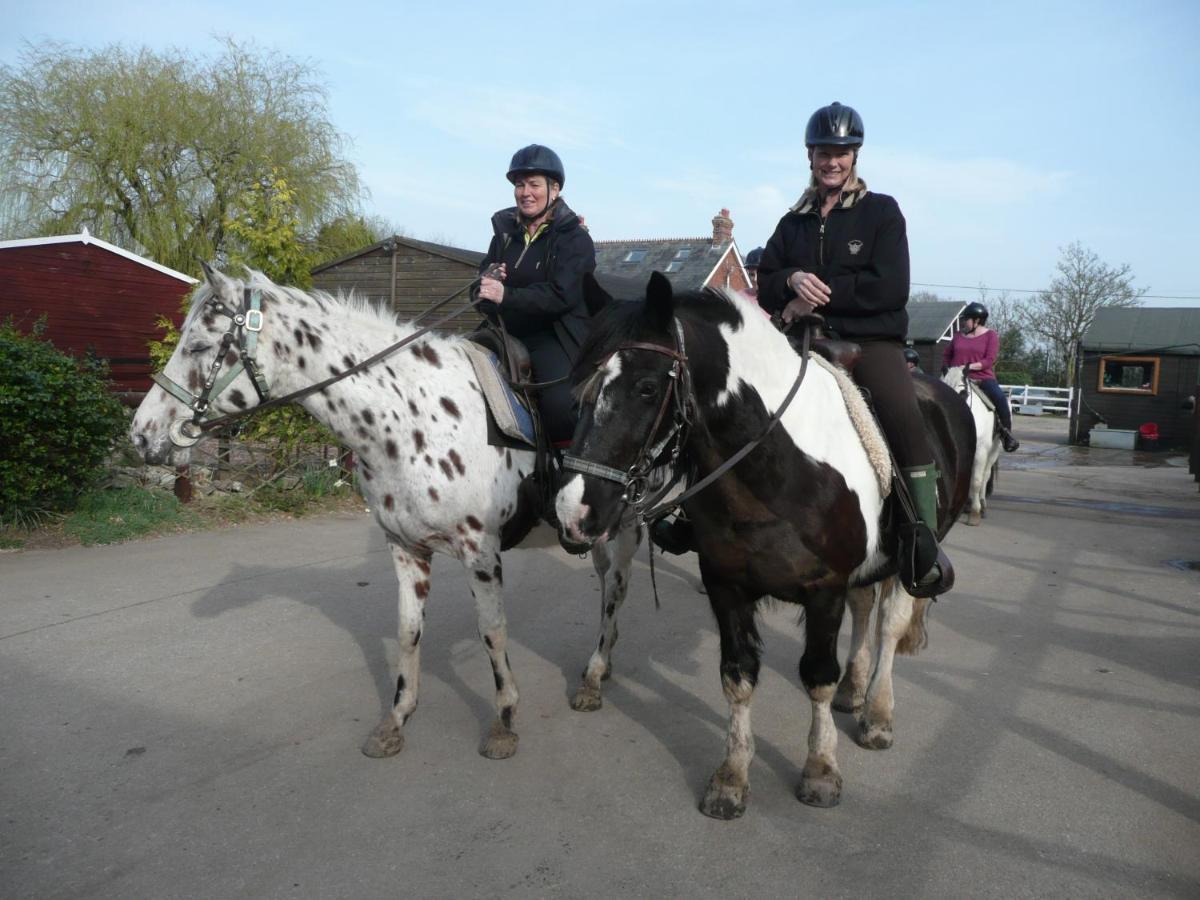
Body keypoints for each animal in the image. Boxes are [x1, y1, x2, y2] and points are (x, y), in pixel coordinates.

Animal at [129, 266, 648, 763]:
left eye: (199, 346)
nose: (140, 435)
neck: (414, 420)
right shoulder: (405, 548)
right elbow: (408, 631)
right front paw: (396, 721)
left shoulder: (481, 552)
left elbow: (492, 632)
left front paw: (503, 721)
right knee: (607, 588)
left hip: (624, 530)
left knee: (617, 591)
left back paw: (593, 678)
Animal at [552, 274, 974, 825]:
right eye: (579, 387)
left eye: (646, 387)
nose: (572, 513)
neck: (777, 469)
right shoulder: (725, 585)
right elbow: (737, 677)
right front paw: (731, 779)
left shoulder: (824, 589)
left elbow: (816, 676)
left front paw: (820, 770)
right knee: (865, 609)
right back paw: (855, 690)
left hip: (914, 556)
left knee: (890, 623)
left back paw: (878, 714)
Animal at [940, 362, 998, 525]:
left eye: (963, 392)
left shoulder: (981, 451)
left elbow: (976, 481)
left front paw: (974, 513)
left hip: (994, 451)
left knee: (985, 475)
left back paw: (981, 505)